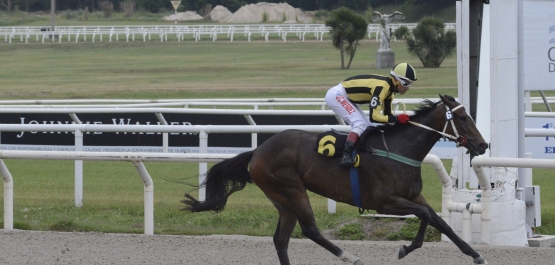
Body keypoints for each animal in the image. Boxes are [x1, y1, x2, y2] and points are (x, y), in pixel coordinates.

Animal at [181, 95, 486, 264]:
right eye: (462, 117)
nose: (483, 146)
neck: (400, 149)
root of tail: (257, 151)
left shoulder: (413, 196)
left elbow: (438, 220)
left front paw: (475, 254)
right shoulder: (385, 202)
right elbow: (424, 215)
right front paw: (406, 248)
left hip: (282, 200)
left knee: (281, 239)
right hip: (292, 191)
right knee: (310, 230)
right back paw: (350, 257)